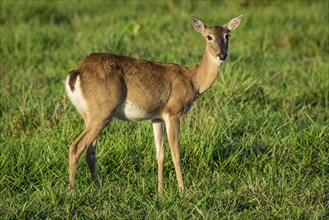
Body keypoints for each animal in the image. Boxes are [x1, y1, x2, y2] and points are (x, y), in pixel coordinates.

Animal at [65, 14, 242, 193]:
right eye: (208, 37)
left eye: (227, 35)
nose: (222, 55)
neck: (192, 80)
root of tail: (75, 73)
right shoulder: (174, 112)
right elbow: (176, 152)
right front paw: (182, 189)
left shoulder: (157, 117)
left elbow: (160, 154)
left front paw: (160, 191)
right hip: (102, 112)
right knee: (76, 147)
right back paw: (72, 191)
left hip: (90, 115)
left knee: (90, 151)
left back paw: (98, 189)